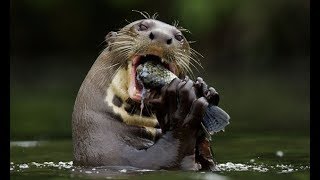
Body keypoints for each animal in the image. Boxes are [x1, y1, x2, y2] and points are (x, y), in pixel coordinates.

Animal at [72, 16, 222, 170]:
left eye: (179, 36)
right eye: (142, 26)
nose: (162, 36)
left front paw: (205, 89)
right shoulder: (117, 156)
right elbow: (168, 155)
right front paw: (181, 111)